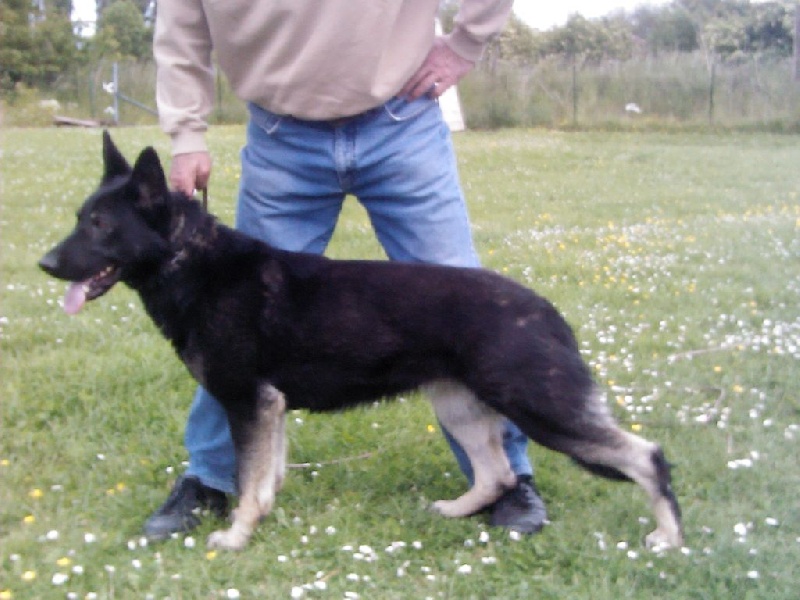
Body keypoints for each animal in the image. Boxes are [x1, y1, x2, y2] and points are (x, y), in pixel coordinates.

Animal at [40, 134, 684, 552]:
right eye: (79, 217)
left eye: (101, 225)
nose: (44, 264)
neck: (186, 258)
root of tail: (546, 309)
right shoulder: (270, 410)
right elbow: (265, 479)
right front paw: (260, 521)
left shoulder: (248, 404)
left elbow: (249, 481)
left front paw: (236, 536)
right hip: (456, 404)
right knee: (496, 474)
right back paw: (455, 509)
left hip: (538, 406)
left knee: (645, 455)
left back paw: (669, 536)